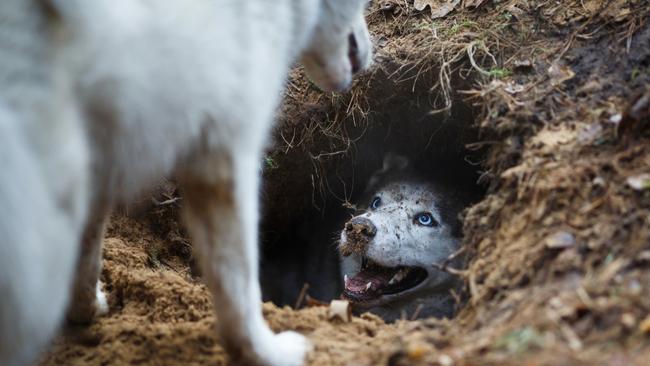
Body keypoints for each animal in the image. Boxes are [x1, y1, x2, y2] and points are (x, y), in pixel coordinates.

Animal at [0, 0, 370, 364]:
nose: (367, 59)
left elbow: (88, 253)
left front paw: (85, 311)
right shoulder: (226, 152)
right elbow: (239, 286)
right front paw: (267, 352)